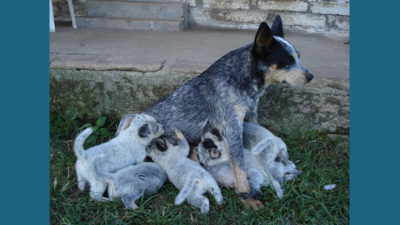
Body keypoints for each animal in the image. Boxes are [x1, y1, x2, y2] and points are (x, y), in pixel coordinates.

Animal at [126, 15, 314, 209]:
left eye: (298, 57)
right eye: (288, 61)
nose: (311, 76)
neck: (241, 78)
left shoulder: (251, 115)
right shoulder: (232, 128)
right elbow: (240, 167)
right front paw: (246, 195)